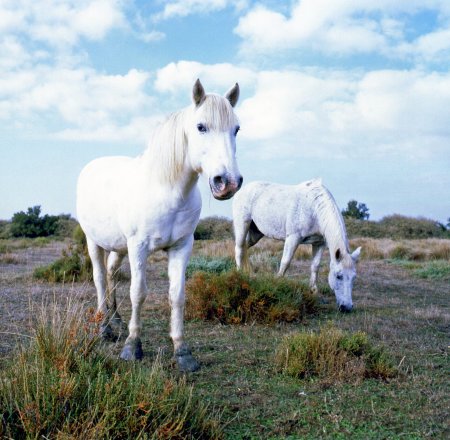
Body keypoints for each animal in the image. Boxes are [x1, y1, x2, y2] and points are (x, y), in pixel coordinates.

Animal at [76, 80, 243, 372]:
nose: (228, 182)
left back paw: (116, 320)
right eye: (201, 126)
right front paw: (133, 346)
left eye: (237, 128)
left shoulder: (181, 247)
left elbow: (177, 295)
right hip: (93, 242)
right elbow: (138, 293)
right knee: (99, 279)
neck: (167, 190)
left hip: (119, 247)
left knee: (111, 275)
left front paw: (182, 351)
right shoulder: (139, 247)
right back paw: (104, 328)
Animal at [234, 180, 360, 312]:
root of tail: (243, 190)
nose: (347, 307)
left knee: (244, 249)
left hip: (256, 233)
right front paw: (277, 284)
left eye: (354, 277)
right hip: (242, 225)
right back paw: (239, 276)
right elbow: (285, 262)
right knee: (239, 249)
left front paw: (313, 291)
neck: (314, 208)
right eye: (338, 276)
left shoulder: (319, 243)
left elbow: (315, 266)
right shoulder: (293, 238)